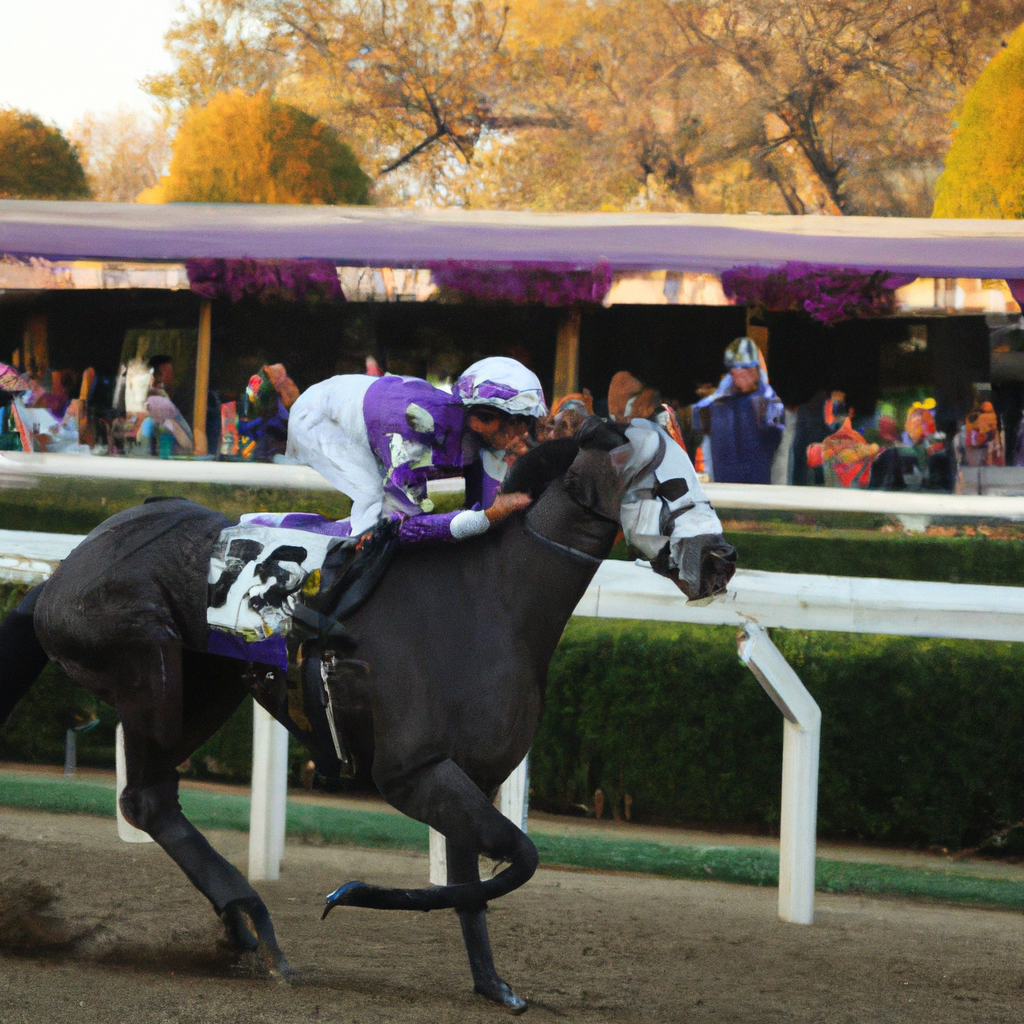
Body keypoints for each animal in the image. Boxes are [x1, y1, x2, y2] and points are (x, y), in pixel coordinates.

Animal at [0, 419, 737, 1011]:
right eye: (670, 485)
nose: (723, 560)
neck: (494, 600)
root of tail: (62, 570)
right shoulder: (412, 773)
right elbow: (520, 858)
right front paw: (351, 893)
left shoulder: (468, 773)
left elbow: (477, 881)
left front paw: (492, 986)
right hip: (143, 659)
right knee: (145, 798)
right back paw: (256, 924)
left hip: (203, 686)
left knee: (152, 798)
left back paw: (244, 926)